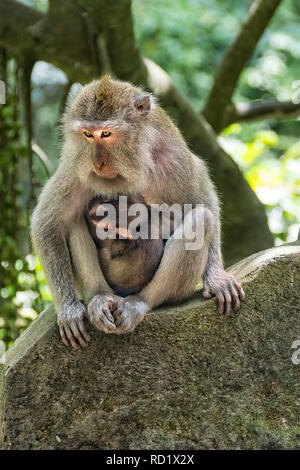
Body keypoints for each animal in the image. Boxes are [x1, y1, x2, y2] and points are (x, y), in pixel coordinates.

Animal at [31, 75, 244, 346]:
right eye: (87, 134)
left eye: (106, 134)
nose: (97, 163)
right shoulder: (75, 166)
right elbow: (48, 223)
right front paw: (69, 310)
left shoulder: (174, 159)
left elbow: (201, 203)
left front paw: (217, 277)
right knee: (71, 221)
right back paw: (99, 298)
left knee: (202, 220)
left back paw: (138, 303)